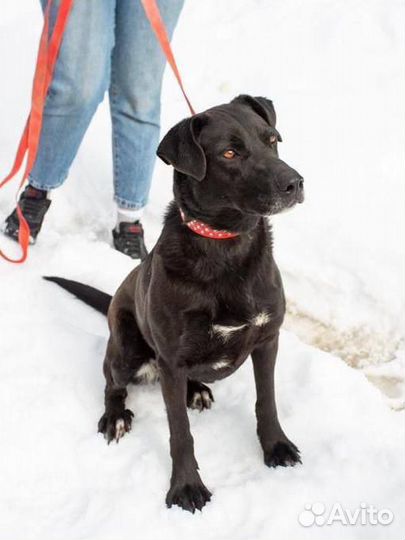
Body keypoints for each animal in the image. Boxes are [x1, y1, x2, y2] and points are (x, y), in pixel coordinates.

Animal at [45, 94, 304, 516]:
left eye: (272, 139)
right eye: (229, 152)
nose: (295, 183)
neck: (226, 248)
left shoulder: (267, 339)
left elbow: (267, 401)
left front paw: (276, 447)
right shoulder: (172, 360)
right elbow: (180, 432)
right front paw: (186, 487)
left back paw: (195, 389)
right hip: (126, 349)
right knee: (111, 383)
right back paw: (115, 417)